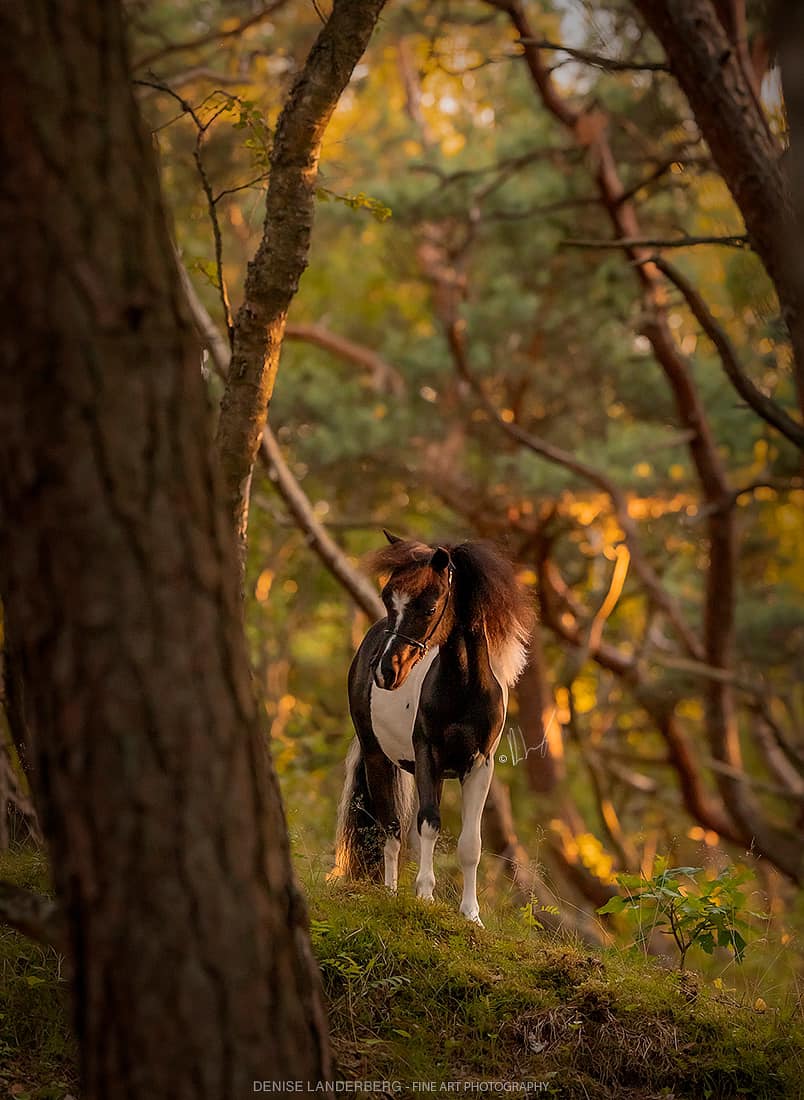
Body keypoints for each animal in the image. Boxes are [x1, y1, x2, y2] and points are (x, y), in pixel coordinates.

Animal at [332, 532, 534, 925]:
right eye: (387, 598)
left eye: (429, 607)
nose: (386, 672)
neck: (463, 689)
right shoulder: (428, 756)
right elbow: (426, 824)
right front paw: (424, 897)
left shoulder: (479, 765)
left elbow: (471, 843)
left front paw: (471, 915)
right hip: (378, 757)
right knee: (391, 830)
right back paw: (391, 894)